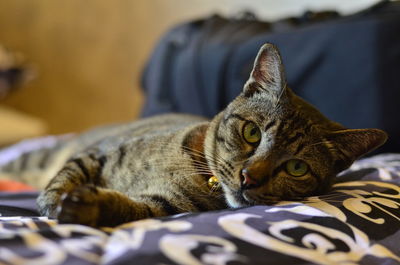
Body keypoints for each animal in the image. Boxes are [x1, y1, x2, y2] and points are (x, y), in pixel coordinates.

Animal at [0, 43, 388, 225]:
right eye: (251, 132)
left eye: (296, 168)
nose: (249, 178)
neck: (198, 171)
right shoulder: (97, 152)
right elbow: (68, 174)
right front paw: (53, 200)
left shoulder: (163, 206)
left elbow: (129, 209)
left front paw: (89, 206)